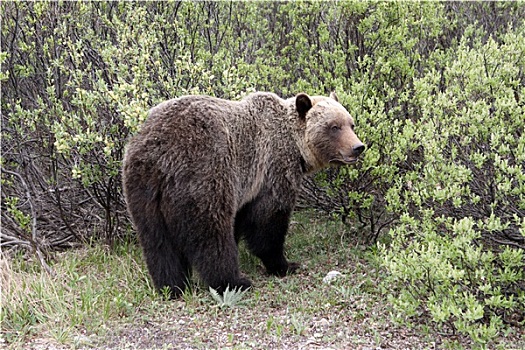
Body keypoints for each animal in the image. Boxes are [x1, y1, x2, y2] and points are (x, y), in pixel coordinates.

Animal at [122, 91, 364, 296]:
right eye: (334, 126)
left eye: (351, 123)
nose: (358, 147)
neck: (296, 148)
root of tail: (160, 154)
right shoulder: (271, 169)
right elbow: (268, 222)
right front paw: (284, 264)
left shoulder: (246, 189)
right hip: (205, 173)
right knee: (211, 234)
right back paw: (233, 282)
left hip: (142, 189)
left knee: (157, 241)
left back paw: (171, 286)